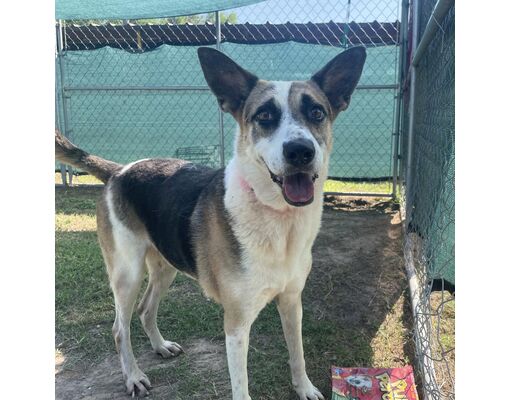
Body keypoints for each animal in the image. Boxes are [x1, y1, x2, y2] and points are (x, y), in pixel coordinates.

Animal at [55, 47, 366, 400]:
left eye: (316, 112)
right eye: (264, 116)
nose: (300, 151)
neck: (278, 218)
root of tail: (119, 170)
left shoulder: (291, 301)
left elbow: (297, 353)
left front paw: (305, 388)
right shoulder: (236, 323)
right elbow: (241, 386)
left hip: (166, 266)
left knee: (146, 309)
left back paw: (160, 346)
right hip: (126, 274)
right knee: (119, 327)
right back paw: (133, 376)